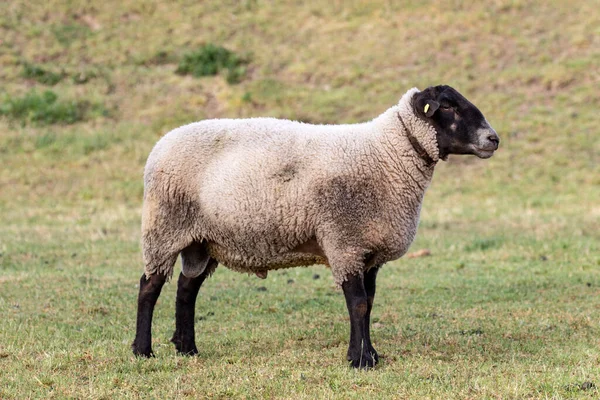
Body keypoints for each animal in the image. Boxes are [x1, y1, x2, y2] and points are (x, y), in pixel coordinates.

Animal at [134, 85, 500, 368]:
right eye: (448, 106)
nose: (493, 139)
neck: (388, 154)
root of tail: (161, 143)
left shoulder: (368, 251)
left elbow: (370, 303)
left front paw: (370, 354)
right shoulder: (344, 241)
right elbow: (358, 303)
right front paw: (360, 361)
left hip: (202, 239)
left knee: (186, 289)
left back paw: (187, 349)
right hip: (164, 227)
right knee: (149, 287)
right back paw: (143, 350)